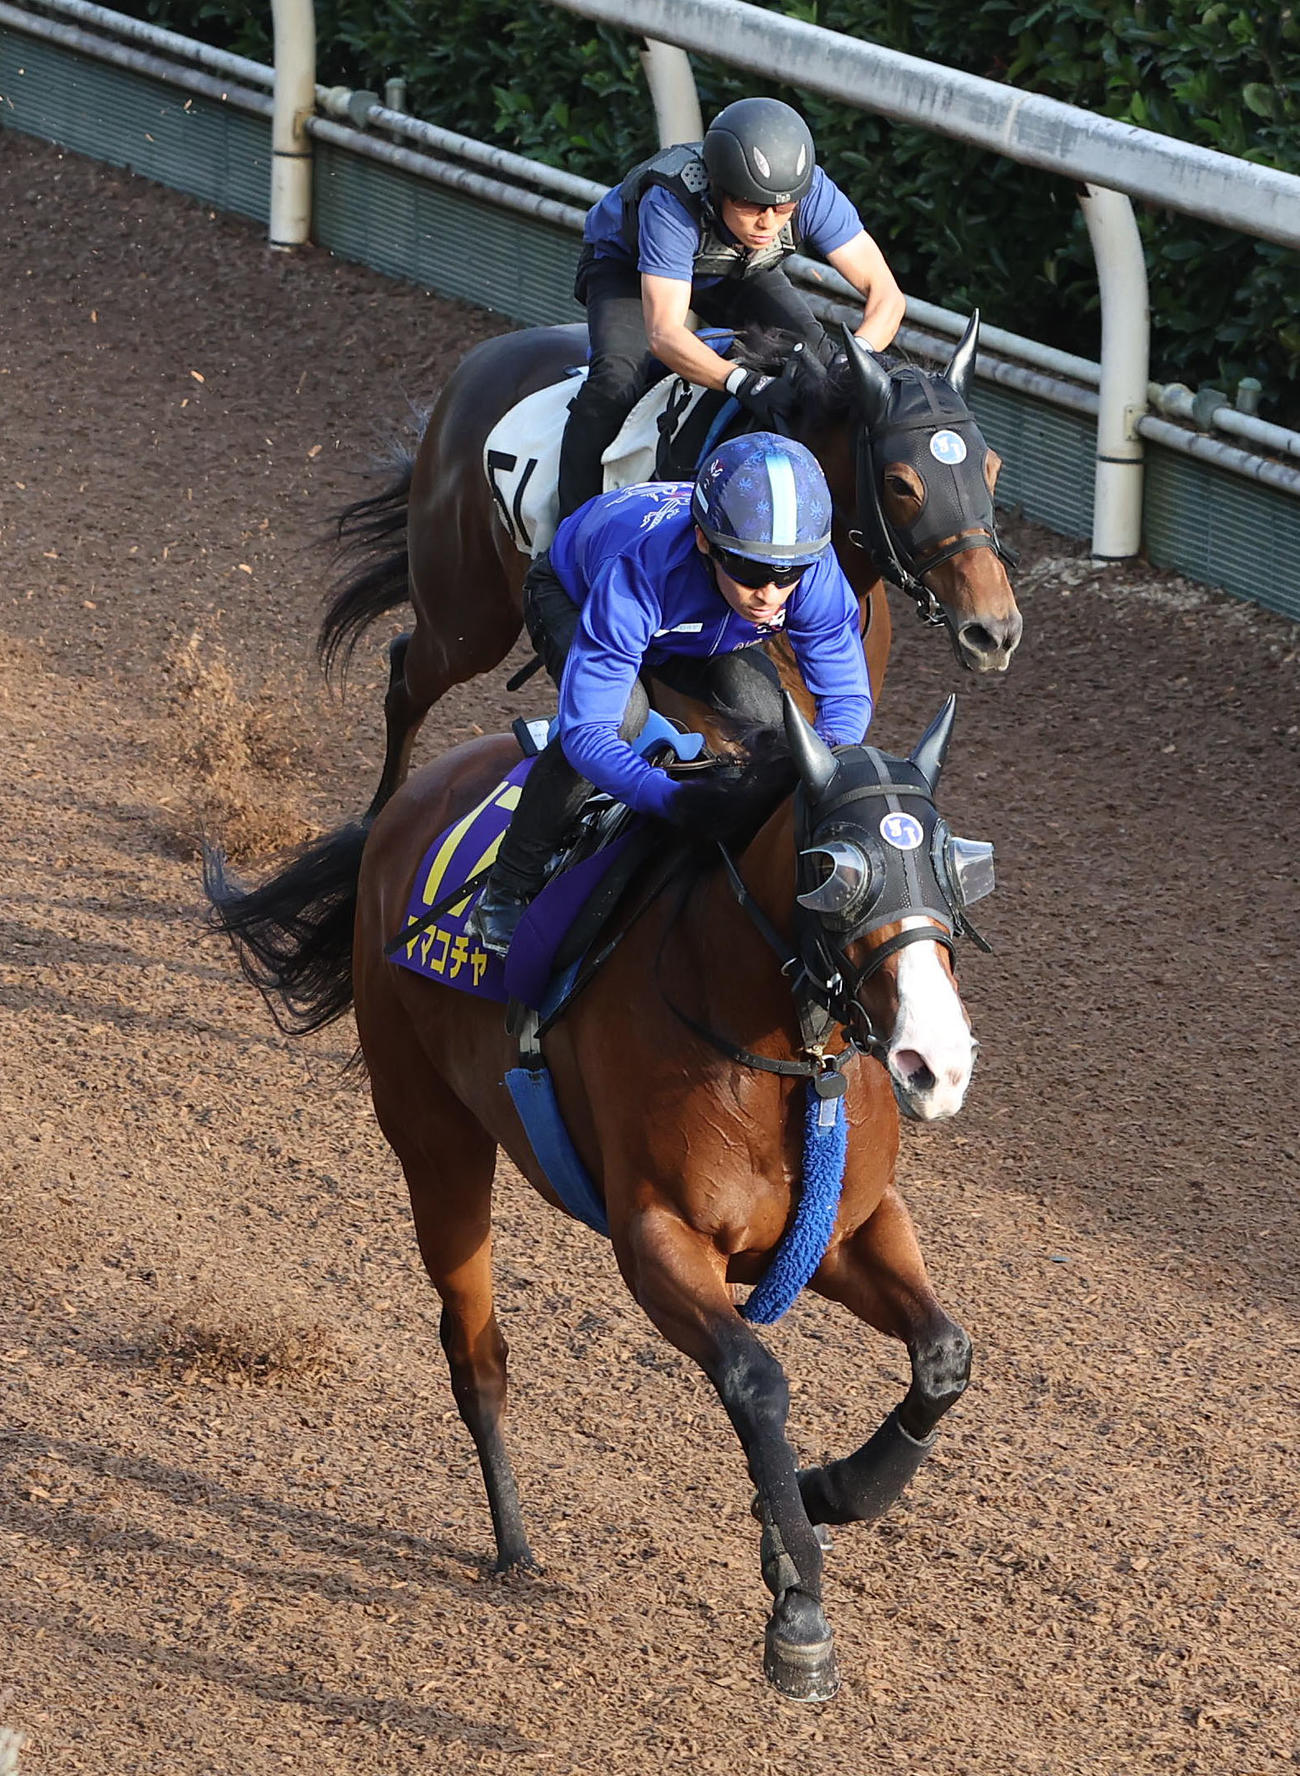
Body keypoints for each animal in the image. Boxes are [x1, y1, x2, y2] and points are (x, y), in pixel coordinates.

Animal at [204, 691, 995, 1700]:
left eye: (954, 863)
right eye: (833, 869)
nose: (936, 1062)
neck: (778, 1053)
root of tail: (410, 799)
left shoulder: (845, 1231)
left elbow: (944, 1356)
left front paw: (829, 1493)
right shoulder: (658, 1238)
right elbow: (757, 1381)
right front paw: (799, 1608)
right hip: (434, 1138)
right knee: (476, 1352)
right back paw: (513, 1547)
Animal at [319, 317, 1023, 818]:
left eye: (991, 466)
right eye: (902, 482)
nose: (993, 630)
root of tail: (474, 366)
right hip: (468, 618)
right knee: (407, 674)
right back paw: (380, 816)